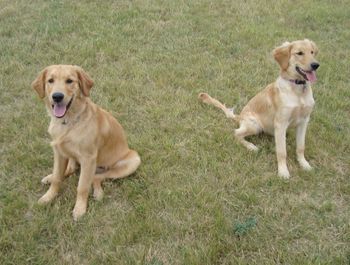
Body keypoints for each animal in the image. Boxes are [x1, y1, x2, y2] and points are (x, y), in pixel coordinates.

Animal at [31, 65, 141, 220]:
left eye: (69, 81)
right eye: (50, 80)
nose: (57, 97)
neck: (68, 122)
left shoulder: (88, 159)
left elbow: (82, 186)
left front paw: (79, 209)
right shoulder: (58, 152)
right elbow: (58, 178)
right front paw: (48, 197)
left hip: (133, 161)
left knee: (96, 177)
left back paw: (98, 193)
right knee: (71, 169)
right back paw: (49, 177)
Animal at [198, 39, 318, 178]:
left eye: (312, 52)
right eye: (299, 53)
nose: (316, 65)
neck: (298, 90)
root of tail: (240, 116)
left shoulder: (304, 121)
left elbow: (300, 147)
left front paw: (304, 165)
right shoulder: (281, 123)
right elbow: (282, 151)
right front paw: (283, 172)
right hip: (255, 125)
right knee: (236, 133)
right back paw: (251, 146)